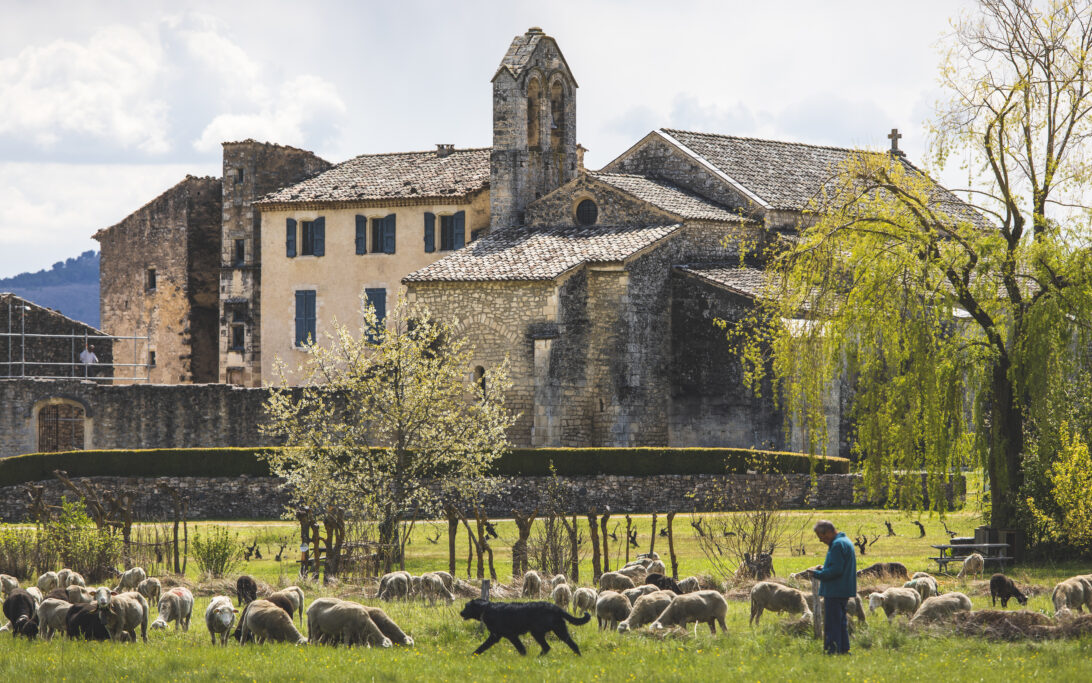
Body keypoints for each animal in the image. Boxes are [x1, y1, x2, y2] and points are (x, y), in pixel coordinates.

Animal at [465, 594, 594, 655]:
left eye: (466, 607)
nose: (462, 612)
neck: (486, 608)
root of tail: (555, 607)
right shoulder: (496, 636)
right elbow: (483, 646)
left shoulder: (505, 635)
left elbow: (521, 648)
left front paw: (472, 655)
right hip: (559, 630)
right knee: (571, 644)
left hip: (538, 632)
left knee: (547, 647)